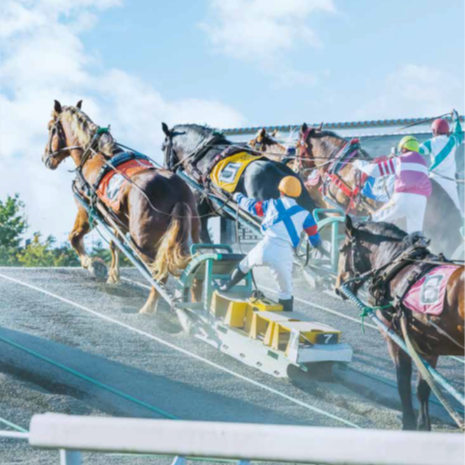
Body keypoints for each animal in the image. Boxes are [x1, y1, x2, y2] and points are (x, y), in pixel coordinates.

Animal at [44, 101, 201, 312]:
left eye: (50, 127)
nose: (46, 157)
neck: (93, 154)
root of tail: (176, 192)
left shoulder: (86, 211)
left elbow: (74, 237)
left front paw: (92, 264)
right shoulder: (119, 220)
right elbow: (114, 245)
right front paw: (113, 275)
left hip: (144, 243)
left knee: (159, 274)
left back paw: (148, 309)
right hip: (189, 238)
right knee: (196, 271)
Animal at [336, 216, 464, 430]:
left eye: (341, 249)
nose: (338, 287)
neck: (399, 269)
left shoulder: (397, 341)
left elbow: (403, 384)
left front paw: (409, 423)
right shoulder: (428, 348)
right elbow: (423, 388)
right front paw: (423, 425)